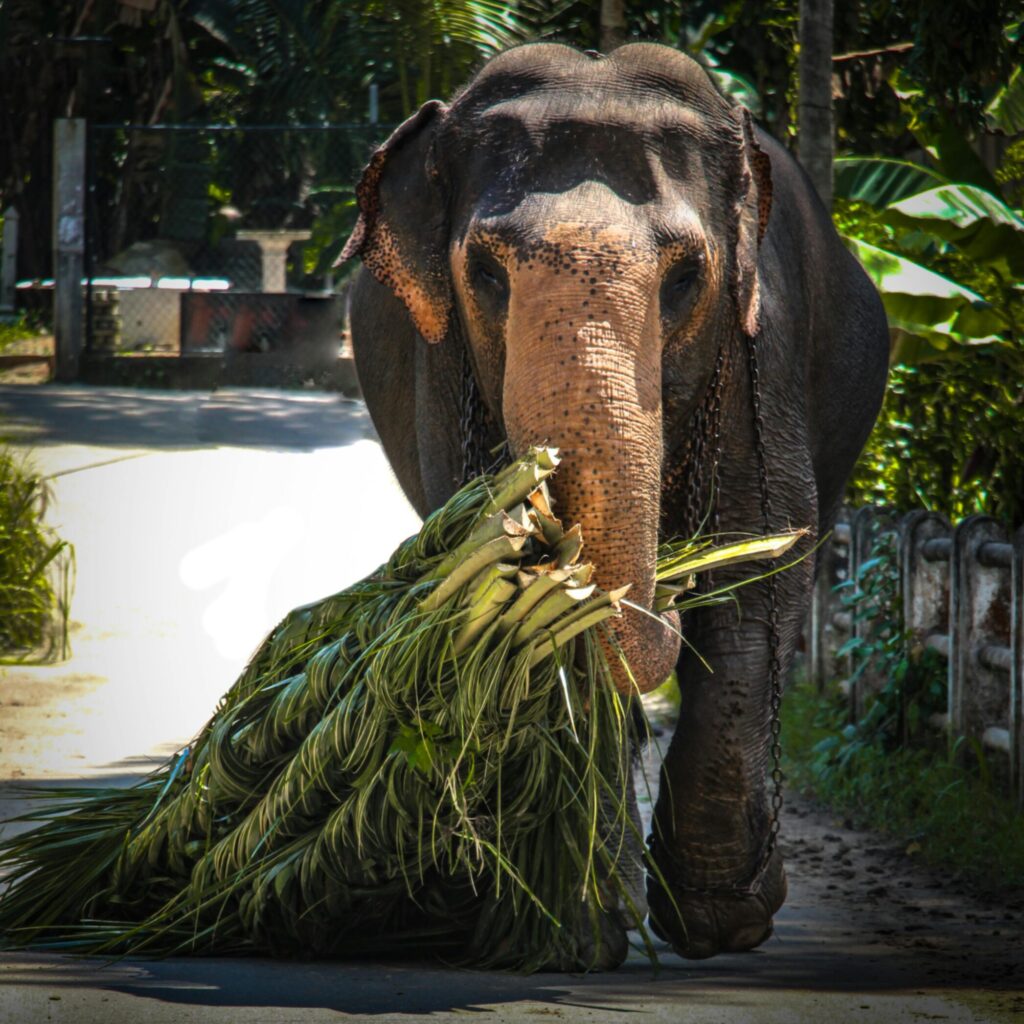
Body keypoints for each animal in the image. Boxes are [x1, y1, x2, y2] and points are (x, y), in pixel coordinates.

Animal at [342, 42, 889, 964]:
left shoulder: (760, 349)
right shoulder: (439, 369)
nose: (664, 586)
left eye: (687, 276)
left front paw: (721, 925)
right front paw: (576, 929)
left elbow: (759, 571)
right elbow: (516, 600)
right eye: (483, 272)